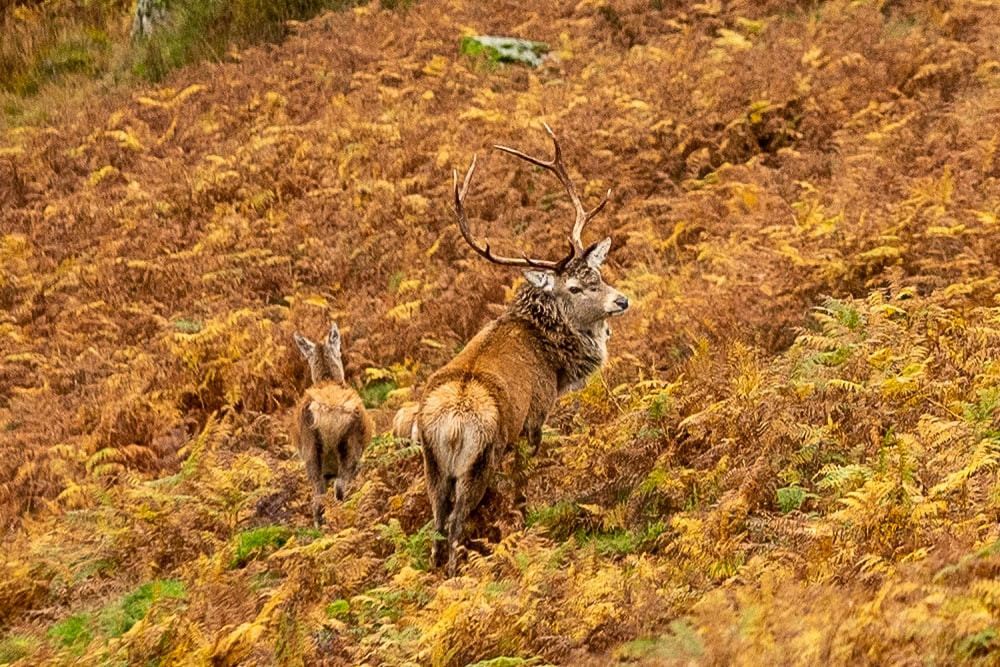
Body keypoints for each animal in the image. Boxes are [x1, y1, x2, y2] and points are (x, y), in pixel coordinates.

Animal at [414, 125, 630, 575]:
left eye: (598, 273)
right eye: (575, 287)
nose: (621, 300)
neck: (555, 361)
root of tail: (450, 425)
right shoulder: (534, 417)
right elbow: (522, 480)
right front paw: (525, 516)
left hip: (431, 464)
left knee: (438, 523)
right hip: (479, 457)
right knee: (456, 522)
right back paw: (459, 573)